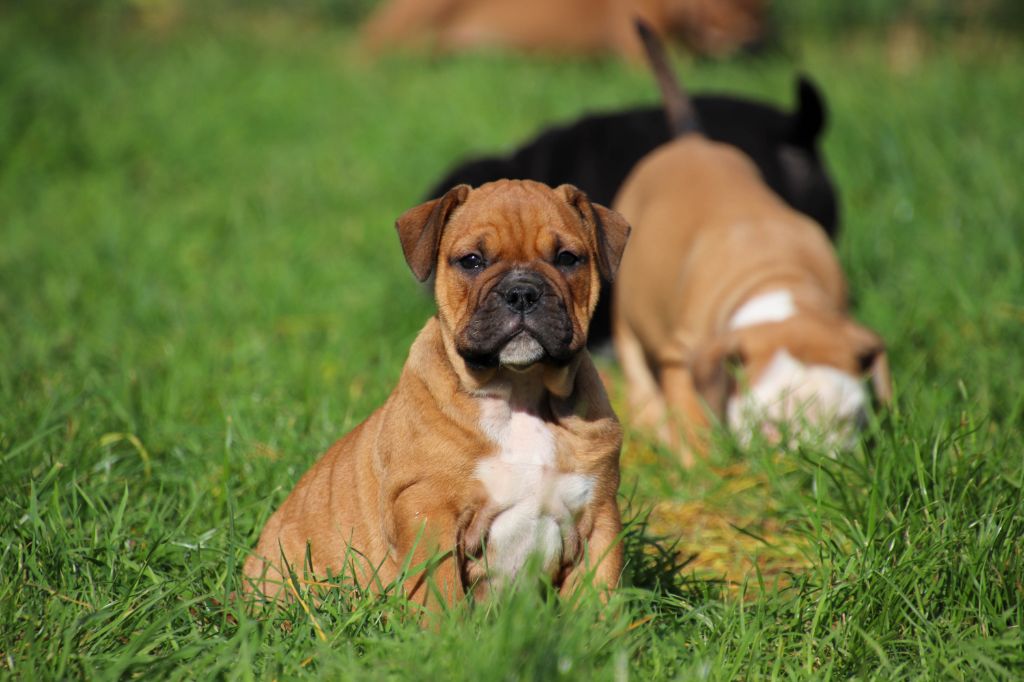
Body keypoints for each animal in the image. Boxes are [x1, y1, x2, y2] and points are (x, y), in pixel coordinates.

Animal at [243, 180, 630, 606]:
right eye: (472, 261)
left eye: (567, 259)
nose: (522, 292)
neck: (519, 393)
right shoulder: (428, 514)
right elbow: (441, 600)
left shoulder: (599, 520)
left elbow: (599, 599)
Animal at [612, 22, 890, 464]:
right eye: (770, 426)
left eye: (850, 422)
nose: (812, 459)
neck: (778, 285)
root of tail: (692, 141)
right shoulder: (683, 354)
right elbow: (693, 416)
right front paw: (700, 464)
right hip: (626, 312)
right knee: (637, 364)